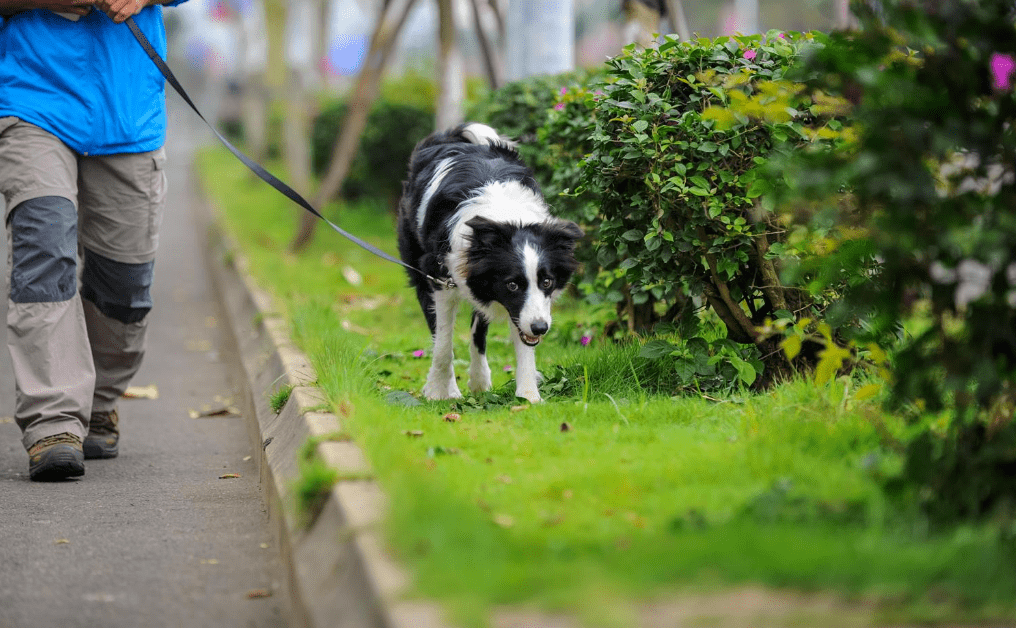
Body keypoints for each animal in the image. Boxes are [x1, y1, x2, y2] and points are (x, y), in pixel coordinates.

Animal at [398, 123, 585, 400]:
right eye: (512, 285)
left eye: (547, 282)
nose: (541, 328)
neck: (505, 216)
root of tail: (450, 136)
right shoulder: (440, 278)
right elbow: (443, 344)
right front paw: (439, 391)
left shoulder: (522, 307)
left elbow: (520, 341)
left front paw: (528, 396)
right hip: (420, 268)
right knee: (439, 333)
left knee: (478, 331)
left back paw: (479, 380)